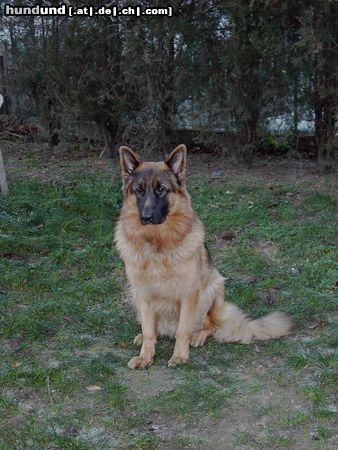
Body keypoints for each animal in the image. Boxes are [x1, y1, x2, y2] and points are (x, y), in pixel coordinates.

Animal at [115, 145, 292, 370]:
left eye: (161, 189)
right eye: (139, 190)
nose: (145, 217)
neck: (158, 244)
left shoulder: (189, 293)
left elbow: (183, 330)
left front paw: (180, 356)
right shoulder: (143, 293)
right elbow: (148, 331)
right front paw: (146, 356)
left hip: (211, 289)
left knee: (211, 324)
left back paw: (198, 336)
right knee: (155, 328)